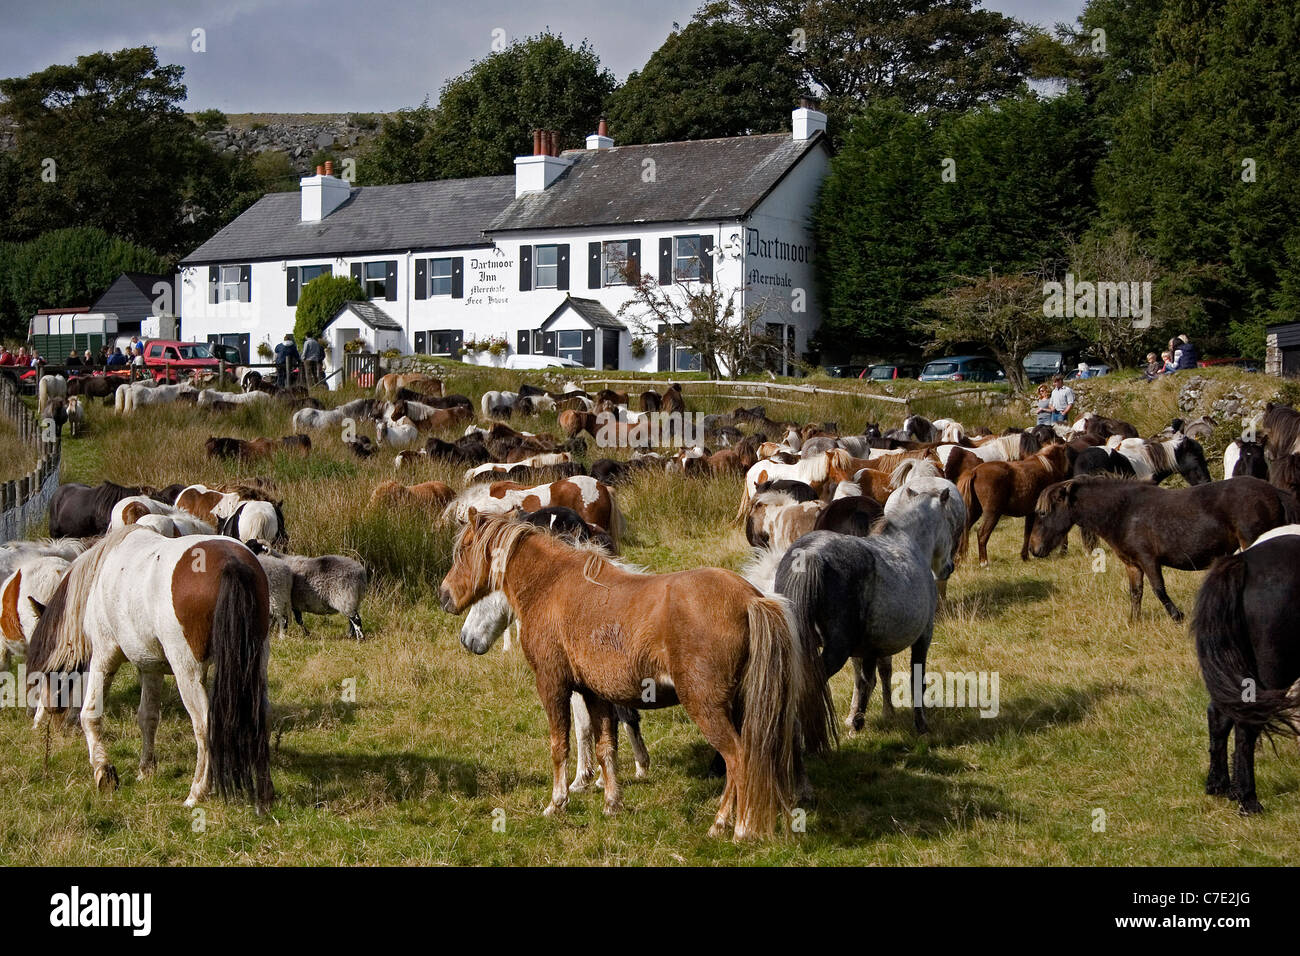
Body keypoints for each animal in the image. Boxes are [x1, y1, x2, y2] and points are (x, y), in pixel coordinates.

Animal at [24, 528, 271, 811]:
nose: (50, 708)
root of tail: (231, 562)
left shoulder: (104, 657)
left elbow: (90, 715)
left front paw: (103, 771)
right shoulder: (151, 667)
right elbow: (148, 717)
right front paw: (146, 770)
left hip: (187, 673)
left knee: (203, 724)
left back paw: (197, 792)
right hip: (256, 665)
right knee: (260, 714)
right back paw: (264, 793)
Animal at [431, 515, 826, 837]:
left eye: (463, 550)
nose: (444, 596)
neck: (552, 586)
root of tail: (750, 599)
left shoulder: (553, 685)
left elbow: (560, 747)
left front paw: (557, 802)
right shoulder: (595, 694)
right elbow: (606, 748)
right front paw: (611, 802)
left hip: (707, 707)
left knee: (739, 759)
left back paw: (735, 827)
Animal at [1029, 476, 1294, 624]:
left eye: (1042, 513)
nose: (1034, 549)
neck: (1124, 512)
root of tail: (1274, 491)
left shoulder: (1149, 559)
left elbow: (1159, 590)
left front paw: (1178, 617)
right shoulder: (1133, 564)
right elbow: (1135, 592)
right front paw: (1134, 621)